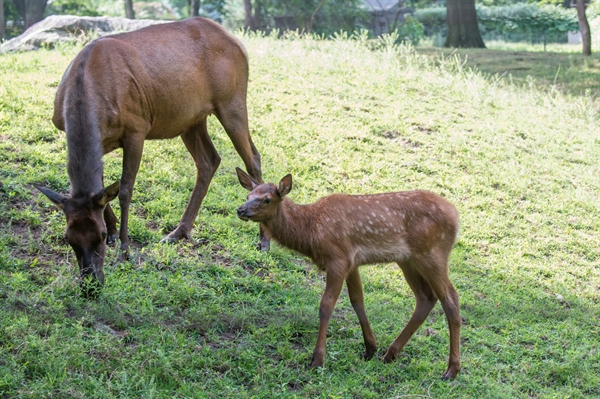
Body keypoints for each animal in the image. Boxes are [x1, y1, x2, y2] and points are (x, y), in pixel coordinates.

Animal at [34, 17, 264, 296]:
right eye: (68, 237)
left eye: (99, 235)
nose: (91, 284)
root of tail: (238, 43)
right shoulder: (94, 139)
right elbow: (102, 189)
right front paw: (116, 233)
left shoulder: (137, 128)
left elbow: (124, 189)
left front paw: (124, 249)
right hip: (191, 118)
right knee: (209, 160)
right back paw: (179, 232)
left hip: (232, 100)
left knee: (253, 158)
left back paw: (263, 240)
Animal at [237, 169, 462, 382]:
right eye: (248, 195)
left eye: (267, 199)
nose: (241, 210)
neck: (311, 231)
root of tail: (456, 215)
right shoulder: (352, 263)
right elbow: (357, 300)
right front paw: (370, 349)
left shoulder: (338, 259)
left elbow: (326, 306)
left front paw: (317, 360)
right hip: (407, 260)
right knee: (426, 297)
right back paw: (390, 354)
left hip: (433, 253)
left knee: (451, 298)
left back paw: (451, 370)